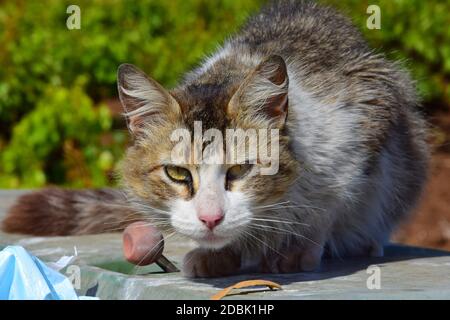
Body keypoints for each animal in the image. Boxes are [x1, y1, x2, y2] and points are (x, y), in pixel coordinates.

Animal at [0, 0, 428, 276]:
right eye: (176, 174)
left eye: (240, 170)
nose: (209, 218)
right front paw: (220, 256)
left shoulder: (367, 117)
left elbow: (329, 206)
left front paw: (296, 248)